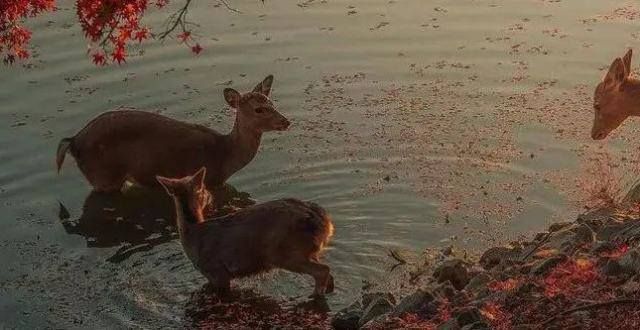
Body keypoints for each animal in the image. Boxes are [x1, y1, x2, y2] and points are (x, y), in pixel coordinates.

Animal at [55, 75, 290, 192]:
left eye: (272, 102)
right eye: (259, 109)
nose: (286, 121)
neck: (225, 157)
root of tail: (73, 141)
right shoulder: (208, 179)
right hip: (104, 175)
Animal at [156, 168, 336, 296]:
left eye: (204, 188)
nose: (210, 195)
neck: (192, 233)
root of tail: (325, 221)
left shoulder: (217, 271)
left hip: (286, 252)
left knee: (323, 270)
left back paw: (315, 295)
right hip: (307, 250)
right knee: (328, 272)